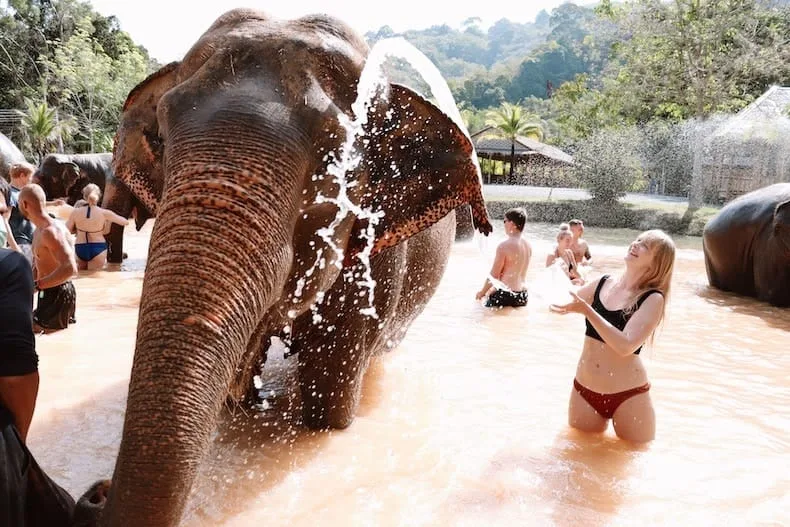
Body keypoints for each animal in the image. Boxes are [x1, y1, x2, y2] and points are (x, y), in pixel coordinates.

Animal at [73, 9, 491, 526]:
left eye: (335, 159)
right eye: (161, 138)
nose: (96, 491)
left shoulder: (374, 259)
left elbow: (327, 409)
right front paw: (243, 401)